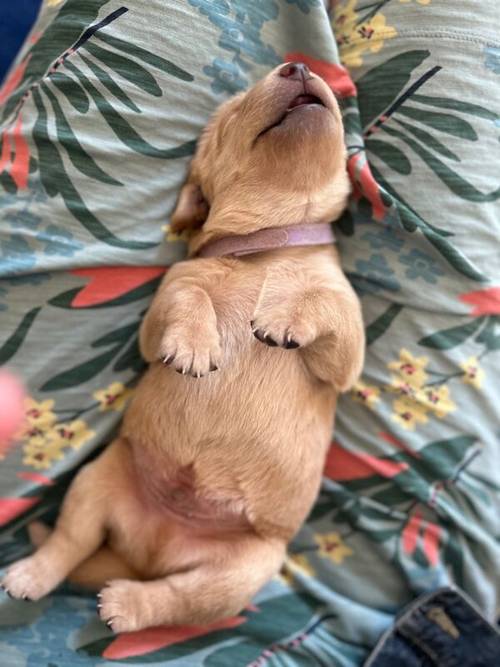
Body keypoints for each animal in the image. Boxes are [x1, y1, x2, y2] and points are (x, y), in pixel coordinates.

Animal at [1, 61, 366, 632]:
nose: (300, 64)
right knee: (68, 544)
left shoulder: (348, 354)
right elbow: (189, 293)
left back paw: (127, 605)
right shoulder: (162, 312)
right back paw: (33, 575)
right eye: (235, 111)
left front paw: (283, 310)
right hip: (95, 483)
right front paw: (197, 344)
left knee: (176, 599)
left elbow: (319, 298)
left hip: (238, 574)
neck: (268, 246)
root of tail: (152, 552)